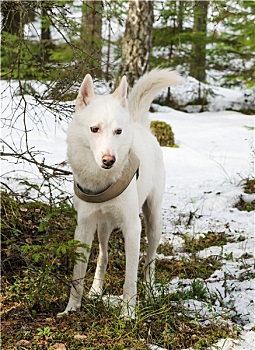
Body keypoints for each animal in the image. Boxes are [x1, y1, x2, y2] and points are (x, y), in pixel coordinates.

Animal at [58, 69, 182, 320]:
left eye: (118, 131)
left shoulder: (133, 228)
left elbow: (130, 278)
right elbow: (78, 273)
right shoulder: (83, 226)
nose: (109, 160)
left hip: (153, 221)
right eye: (94, 129)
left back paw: (150, 291)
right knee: (103, 255)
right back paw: (96, 290)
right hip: (103, 227)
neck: (102, 181)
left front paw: (128, 313)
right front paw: (72, 308)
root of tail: (139, 124)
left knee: (150, 260)